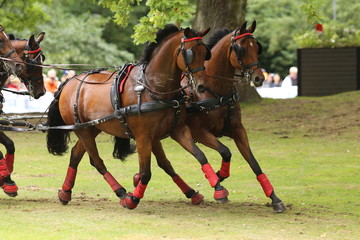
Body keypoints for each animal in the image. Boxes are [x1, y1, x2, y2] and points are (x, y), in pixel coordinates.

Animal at [46, 23, 229, 208]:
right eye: (189, 54)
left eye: (205, 53)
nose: (201, 86)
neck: (153, 88)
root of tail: (70, 81)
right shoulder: (143, 137)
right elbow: (147, 172)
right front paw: (134, 198)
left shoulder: (176, 131)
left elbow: (196, 156)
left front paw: (216, 188)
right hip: (82, 130)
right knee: (96, 161)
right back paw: (121, 193)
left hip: (92, 128)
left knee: (76, 154)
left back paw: (65, 192)